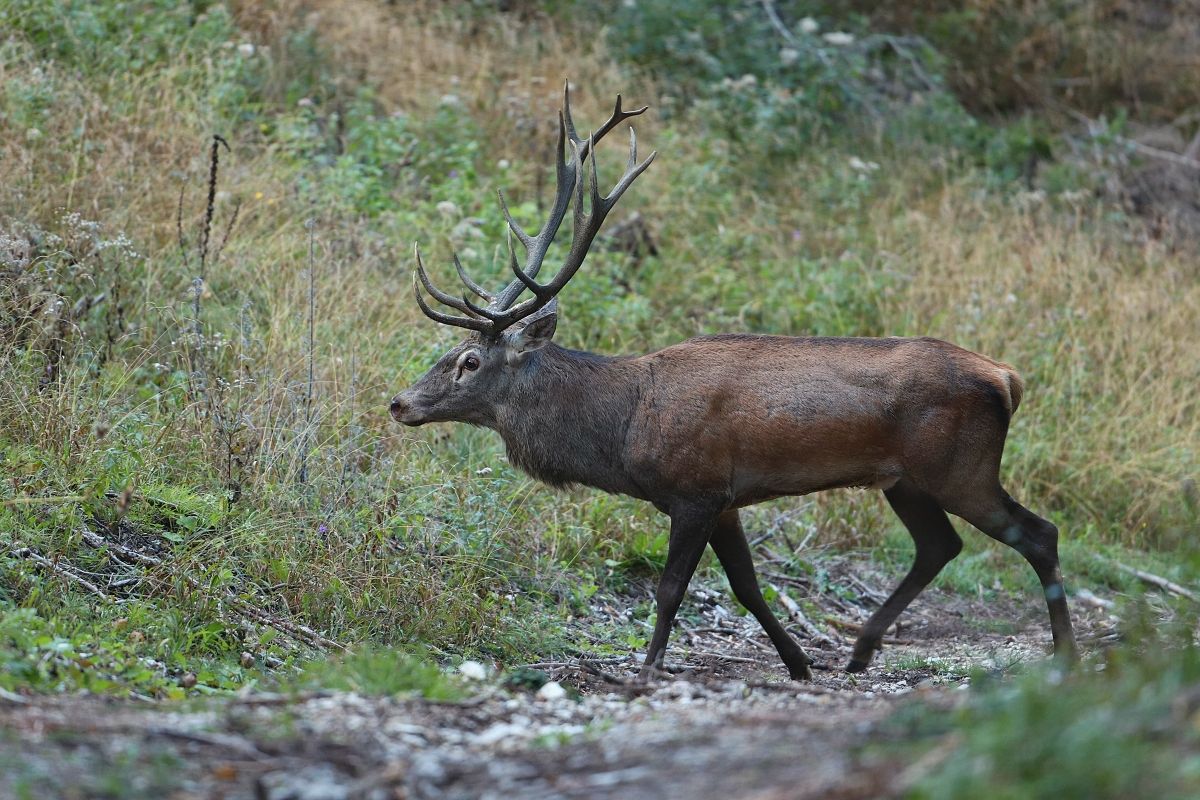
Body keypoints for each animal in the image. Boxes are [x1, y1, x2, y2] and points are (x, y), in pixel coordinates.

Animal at [391, 87, 1080, 681]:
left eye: (469, 361)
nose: (400, 402)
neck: (623, 430)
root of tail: (1006, 377)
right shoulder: (725, 501)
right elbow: (747, 587)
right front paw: (799, 664)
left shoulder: (694, 489)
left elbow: (672, 588)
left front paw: (646, 670)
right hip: (906, 479)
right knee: (940, 546)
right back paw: (859, 651)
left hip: (960, 466)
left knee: (1038, 533)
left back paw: (1066, 655)